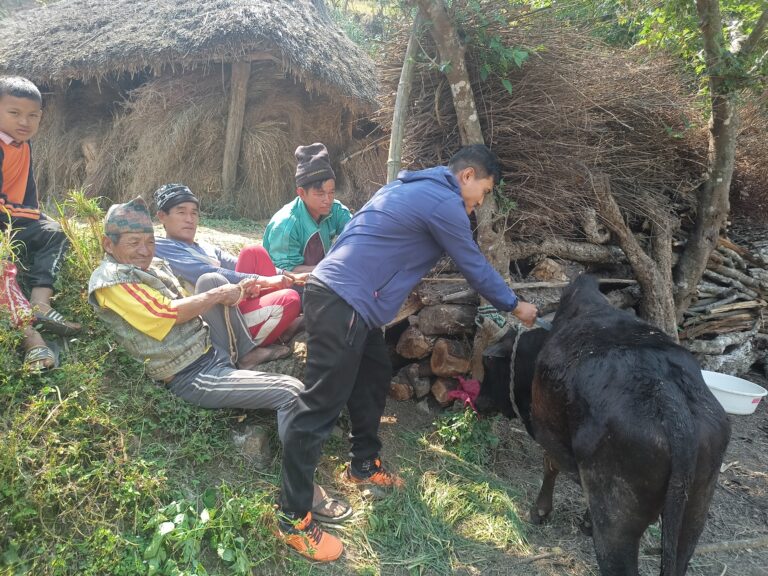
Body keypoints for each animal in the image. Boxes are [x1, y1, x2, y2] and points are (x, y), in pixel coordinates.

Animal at [480, 276, 732, 576]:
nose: (478, 402)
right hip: (693, 518)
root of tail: (672, 404)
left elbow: (550, 467)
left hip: (617, 526)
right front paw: (585, 521)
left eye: (488, 364)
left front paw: (540, 511)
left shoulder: (547, 431)